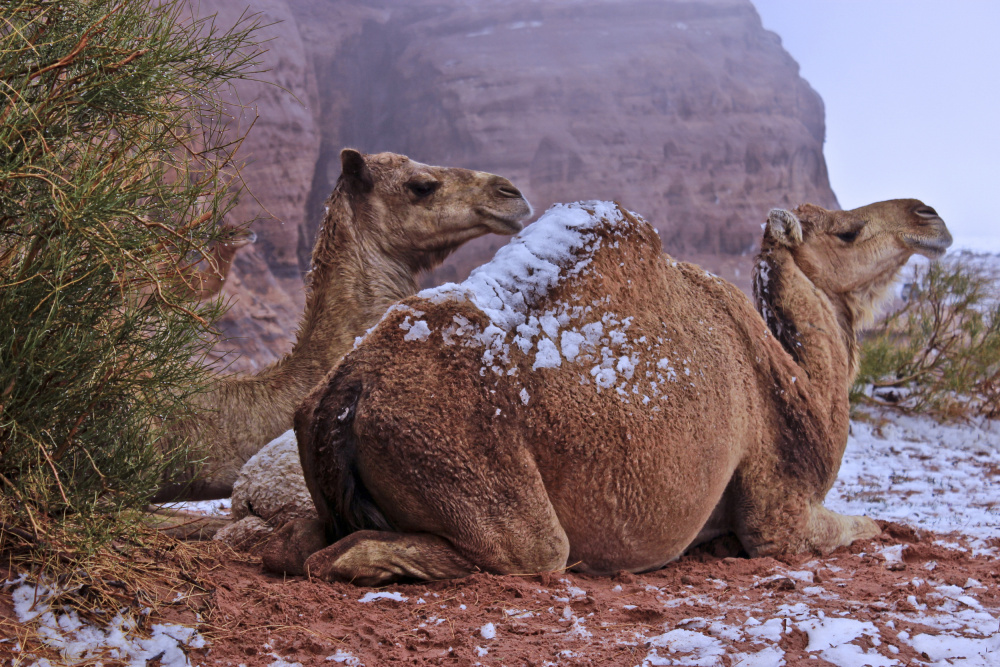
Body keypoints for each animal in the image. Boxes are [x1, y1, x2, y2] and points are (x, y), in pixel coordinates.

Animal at [266, 198, 952, 584]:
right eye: (847, 232)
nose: (929, 216)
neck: (802, 386)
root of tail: (344, 395)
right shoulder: (778, 514)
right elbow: (864, 526)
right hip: (468, 469)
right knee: (522, 552)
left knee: (294, 542)